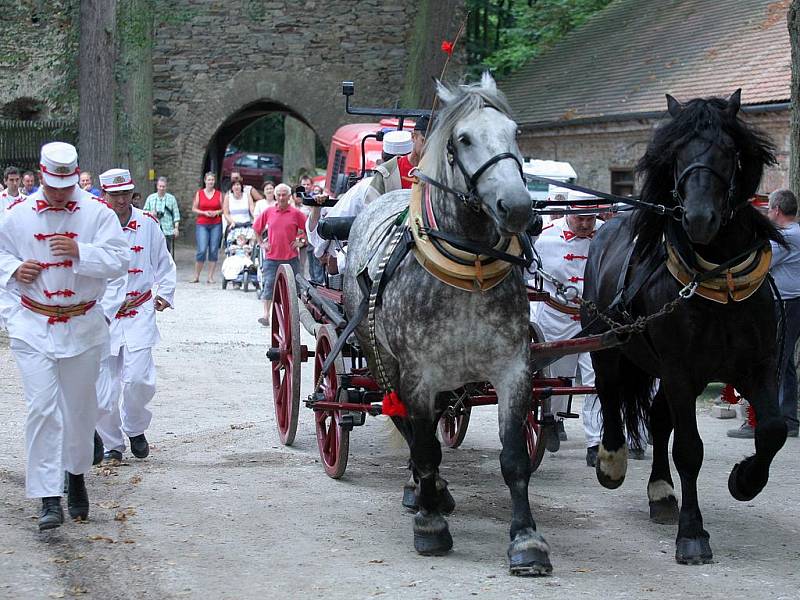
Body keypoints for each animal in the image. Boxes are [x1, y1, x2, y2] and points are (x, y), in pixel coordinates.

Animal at [580, 88, 788, 564]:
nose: (698, 218)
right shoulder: (680, 370)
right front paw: (693, 534)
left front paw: (744, 480)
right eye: (676, 153)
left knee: (658, 420)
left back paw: (661, 492)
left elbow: (773, 430)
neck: (719, 280)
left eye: (728, 150)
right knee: (611, 395)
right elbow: (690, 449)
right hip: (609, 346)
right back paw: (612, 460)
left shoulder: (757, 366)